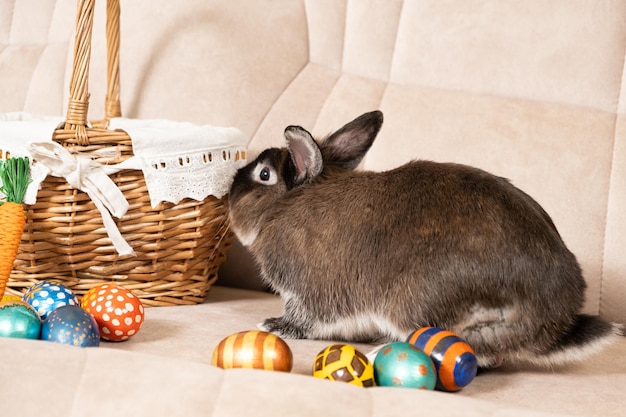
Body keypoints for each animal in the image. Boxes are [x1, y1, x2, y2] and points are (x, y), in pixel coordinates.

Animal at [227, 110, 616, 368]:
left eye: (264, 175)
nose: (229, 193)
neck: (287, 205)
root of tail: (549, 325)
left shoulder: (311, 292)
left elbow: (307, 318)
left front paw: (274, 326)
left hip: (415, 304)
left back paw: (379, 353)